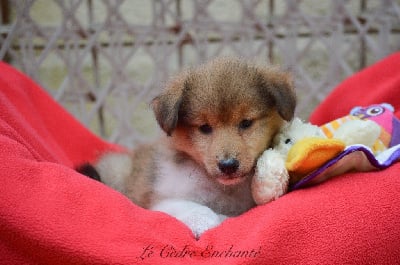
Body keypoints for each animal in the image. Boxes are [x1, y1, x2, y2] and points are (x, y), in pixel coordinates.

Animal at [92, 57, 296, 235]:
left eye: (246, 122)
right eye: (204, 127)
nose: (228, 165)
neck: (222, 188)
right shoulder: (162, 199)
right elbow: (193, 208)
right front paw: (208, 222)